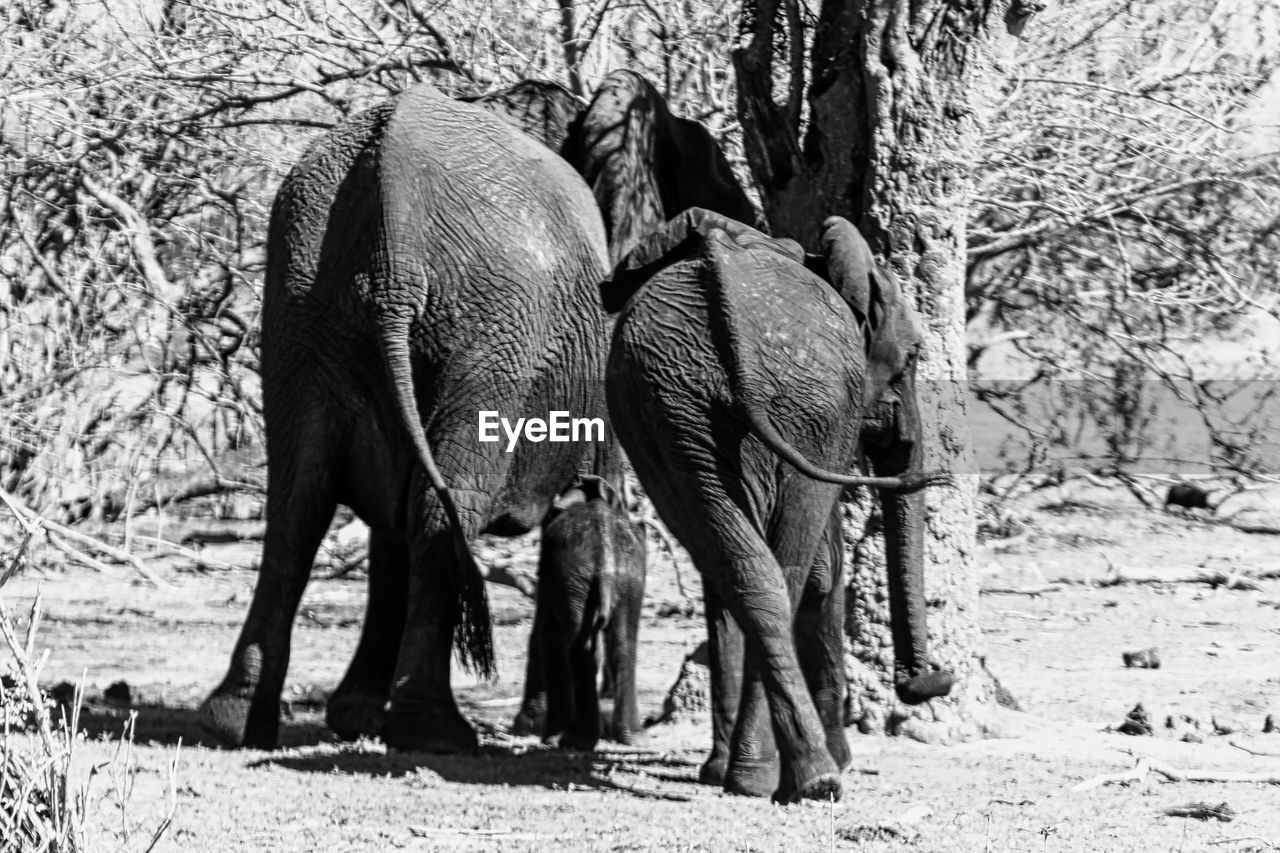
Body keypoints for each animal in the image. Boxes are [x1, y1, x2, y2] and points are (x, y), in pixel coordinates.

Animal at [202, 78, 616, 742]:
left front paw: (355, 717)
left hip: (301, 302)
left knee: (299, 503)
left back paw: (234, 723)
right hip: (498, 325)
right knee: (437, 504)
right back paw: (435, 731)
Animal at [535, 473, 645, 747]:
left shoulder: (549, 566)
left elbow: (548, 635)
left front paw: (549, 738)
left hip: (574, 574)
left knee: (580, 646)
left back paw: (575, 739)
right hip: (629, 575)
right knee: (624, 644)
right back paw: (635, 738)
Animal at [604, 208, 957, 799]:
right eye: (911, 357)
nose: (931, 680)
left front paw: (715, 770)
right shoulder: (835, 429)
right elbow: (825, 571)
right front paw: (845, 759)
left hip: (670, 409)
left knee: (742, 571)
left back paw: (752, 774)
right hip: (806, 405)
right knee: (787, 570)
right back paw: (808, 777)